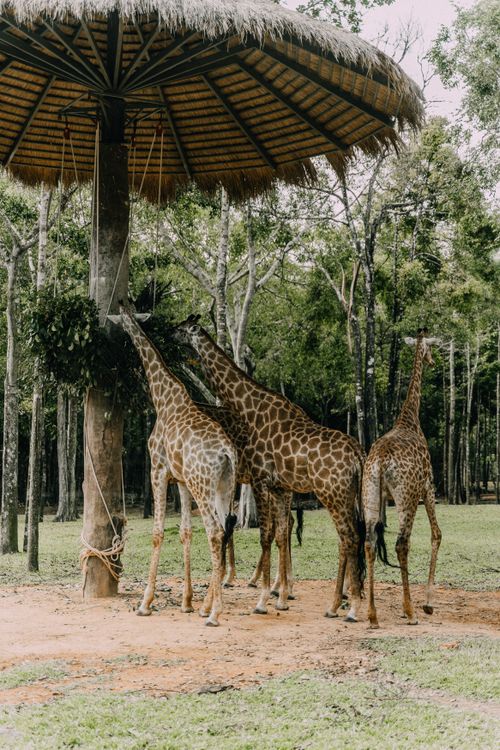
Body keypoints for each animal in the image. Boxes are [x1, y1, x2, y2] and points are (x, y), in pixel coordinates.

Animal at [109, 305, 238, 626]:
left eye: (121, 317)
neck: (162, 397)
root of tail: (228, 452)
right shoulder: (180, 480)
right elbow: (185, 532)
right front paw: (187, 602)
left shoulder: (158, 469)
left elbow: (157, 533)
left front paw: (145, 602)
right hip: (222, 487)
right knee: (224, 529)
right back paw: (208, 605)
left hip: (202, 485)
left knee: (215, 531)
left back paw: (214, 613)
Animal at [173, 316, 365, 621]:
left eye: (182, 328)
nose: (169, 332)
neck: (252, 412)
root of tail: (358, 454)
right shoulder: (278, 486)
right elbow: (277, 534)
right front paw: (280, 595)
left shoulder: (260, 481)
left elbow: (262, 535)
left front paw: (261, 597)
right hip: (343, 496)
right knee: (348, 536)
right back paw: (341, 601)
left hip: (332, 494)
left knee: (348, 538)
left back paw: (346, 605)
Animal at [363, 330, 442, 628]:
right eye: (431, 348)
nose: (433, 361)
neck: (411, 418)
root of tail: (382, 462)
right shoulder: (428, 487)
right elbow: (436, 534)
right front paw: (427, 604)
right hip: (406, 498)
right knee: (401, 544)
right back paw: (410, 613)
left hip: (370, 495)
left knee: (369, 542)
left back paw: (372, 615)